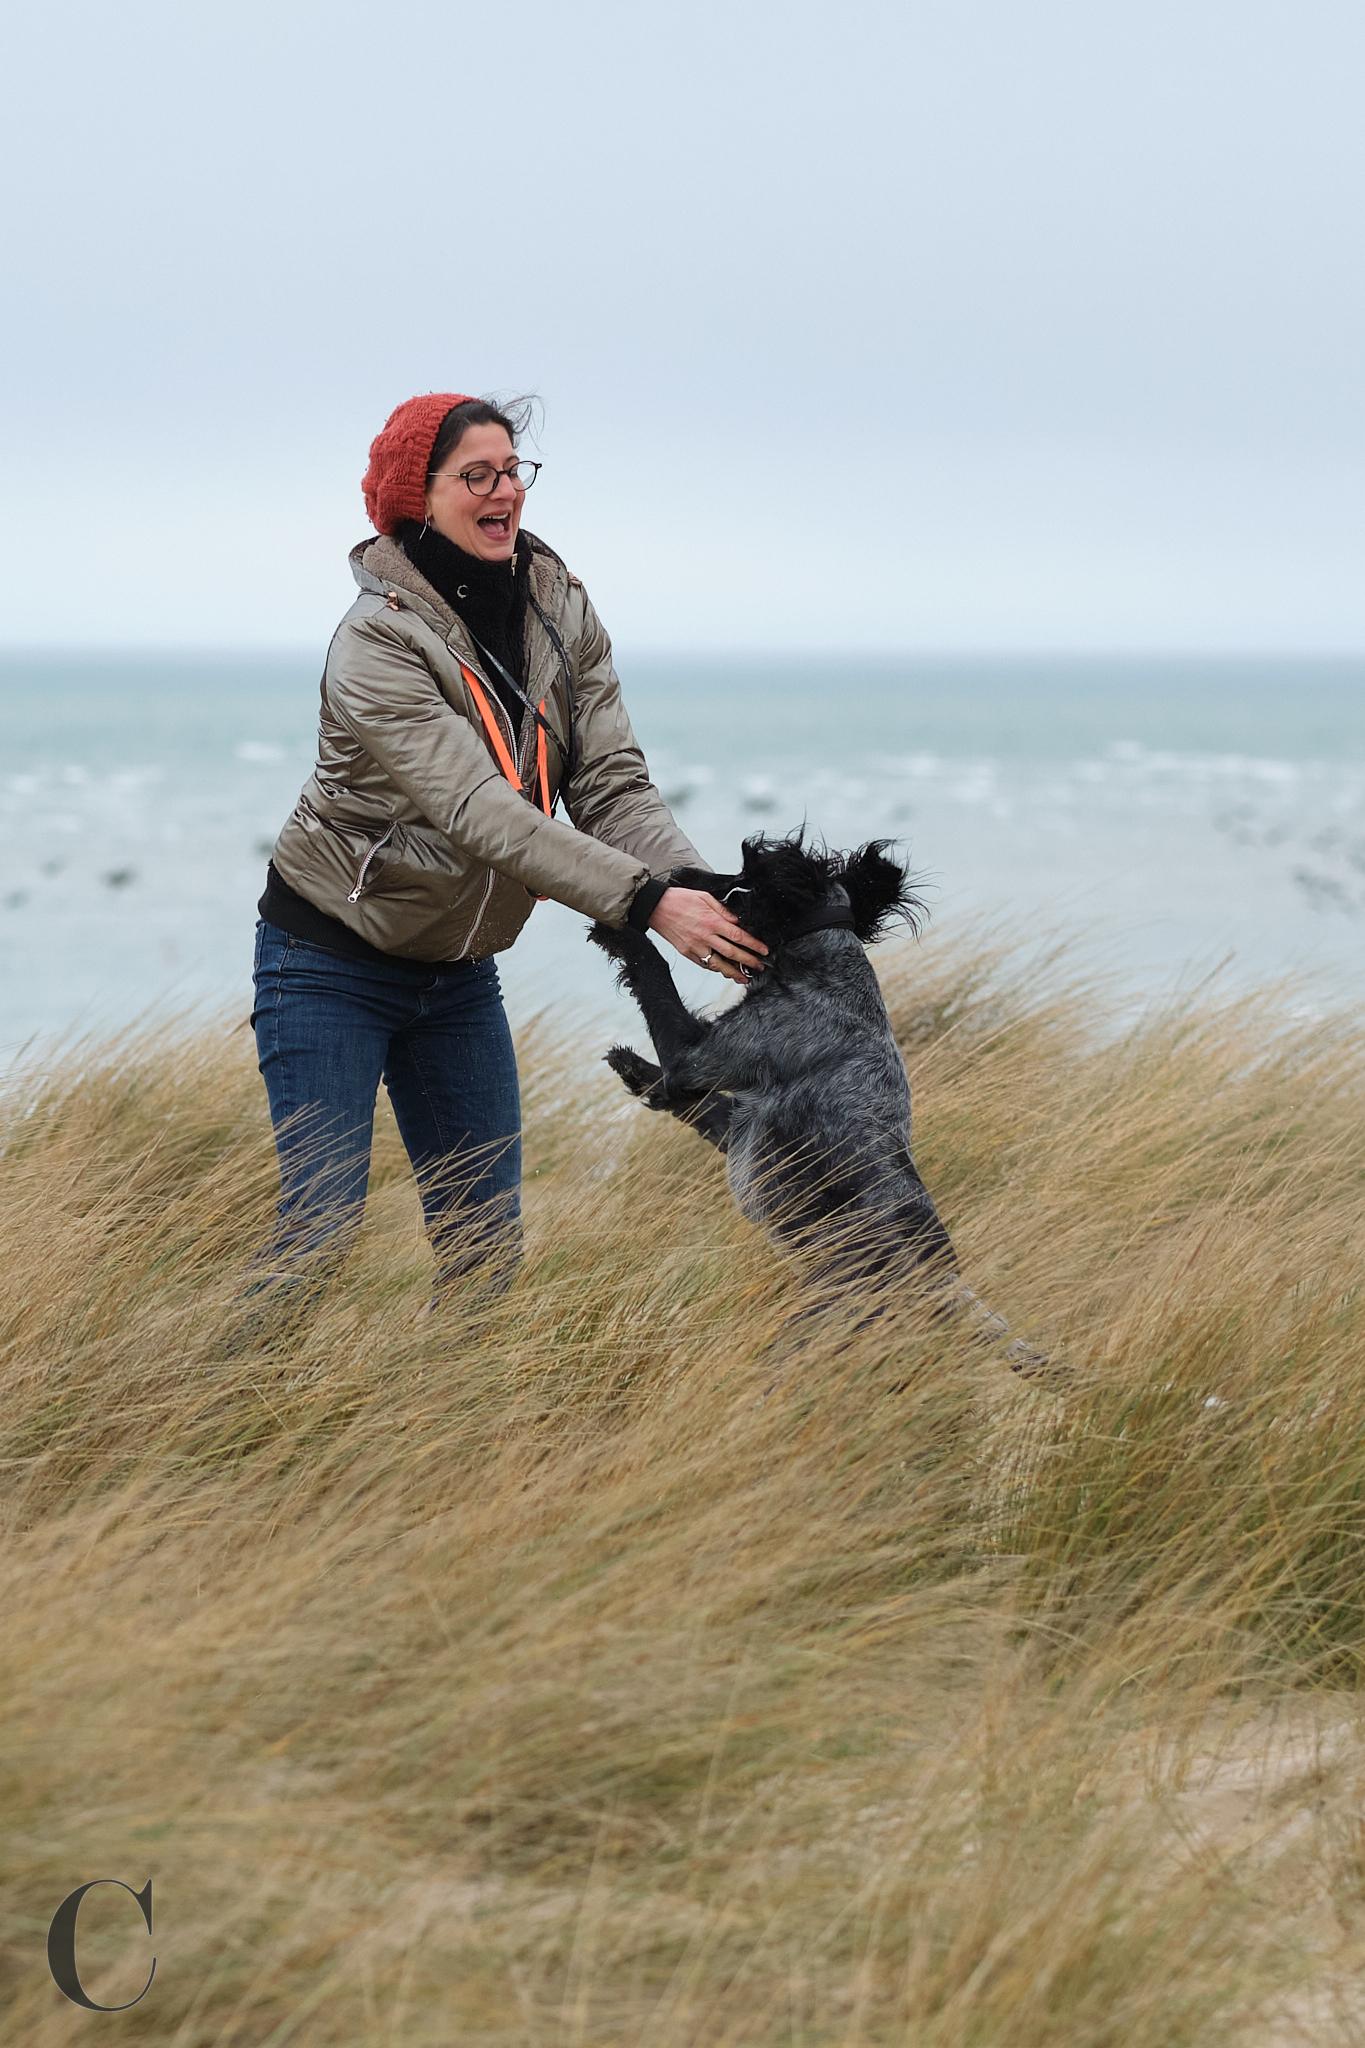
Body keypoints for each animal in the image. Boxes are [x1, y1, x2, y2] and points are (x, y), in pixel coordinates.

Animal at [593, 827, 1055, 1376]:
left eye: (742, 876)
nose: (678, 875)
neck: (825, 974)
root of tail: (945, 1291)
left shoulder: (696, 1056)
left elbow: (654, 972)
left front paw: (621, 929)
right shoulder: (737, 1124)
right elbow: (697, 1104)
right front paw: (635, 1072)